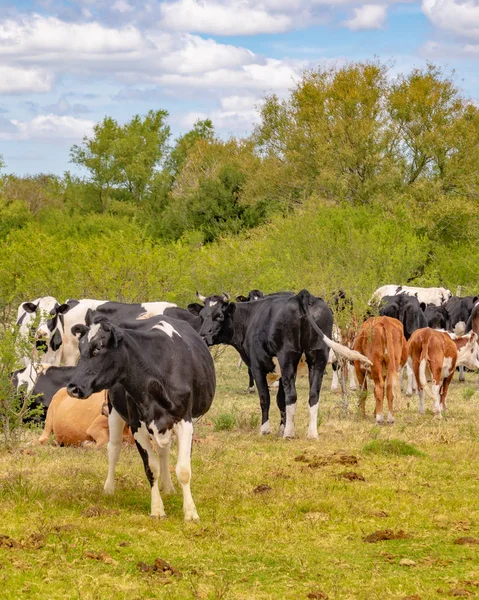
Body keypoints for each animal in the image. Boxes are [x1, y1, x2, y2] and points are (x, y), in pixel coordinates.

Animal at [66, 314, 217, 520]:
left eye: (98, 348)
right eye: (80, 349)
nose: (72, 387)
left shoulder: (185, 422)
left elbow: (184, 469)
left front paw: (190, 512)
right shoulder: (137, 425)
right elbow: (151, 468)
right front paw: (157, 509)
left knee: (163, 451)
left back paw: (168, 488)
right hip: (113, 410)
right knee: (114, 449)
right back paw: (109, 488)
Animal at [188, 288, 372, 438]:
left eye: (218, 316)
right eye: (201, 316)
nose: (202, 336)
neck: (250, 318)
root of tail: (302, 296)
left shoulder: (257, 366)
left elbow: (265, 398)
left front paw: (267, 429)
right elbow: (280, 399)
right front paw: (282, 428)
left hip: (287, 357)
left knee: (293, 395)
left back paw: (290, 433)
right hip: (318, 356)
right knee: (313, 395)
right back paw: (312, 433)